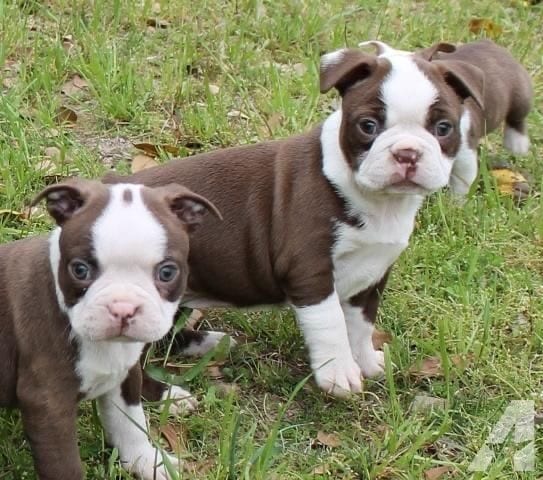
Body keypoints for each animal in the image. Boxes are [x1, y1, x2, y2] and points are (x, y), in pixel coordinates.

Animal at [1, 179, 221, 480]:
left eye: (167, 272)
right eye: (80, 270)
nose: (123, 308)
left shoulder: (124, 376)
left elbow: (130, 423)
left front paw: (148, 462)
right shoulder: (48, 403)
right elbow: (64, 465)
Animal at [106, 39, 502, 398]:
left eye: (444, 128)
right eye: (368, 125)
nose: (407, 153)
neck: (376, 200)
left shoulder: (371, 275)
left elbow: (360, 325)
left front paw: (367, 363)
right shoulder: (309, 272)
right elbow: (332, 326)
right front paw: (339, 374)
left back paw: (207, 343)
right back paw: (170, 397)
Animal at [364, 38, 532, 195]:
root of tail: (489, 43)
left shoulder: (464, 152)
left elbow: (462, 181)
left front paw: (457, 203)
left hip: (520, 93)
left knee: (517, 117)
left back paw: (517, 144)